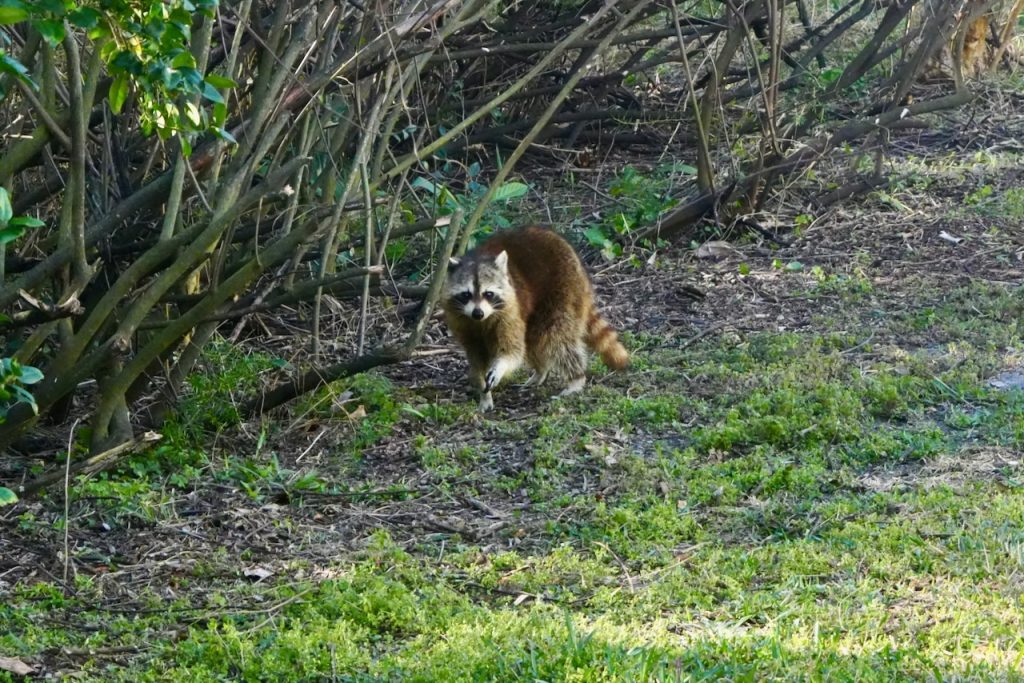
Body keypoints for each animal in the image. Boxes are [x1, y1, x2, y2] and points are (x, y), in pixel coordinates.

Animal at [442, 225, 629, 412]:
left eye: (488, 294)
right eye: (466, 294)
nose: (478, 313)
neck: (481, 321)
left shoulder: (510, 311)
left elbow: (512, 350)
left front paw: (500, 366)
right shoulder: (463, 326)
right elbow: (477, 359)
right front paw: (483, 392)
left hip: (562, 290)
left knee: (558, 338)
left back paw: (575, 378)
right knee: (534, 339)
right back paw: (541, 371)